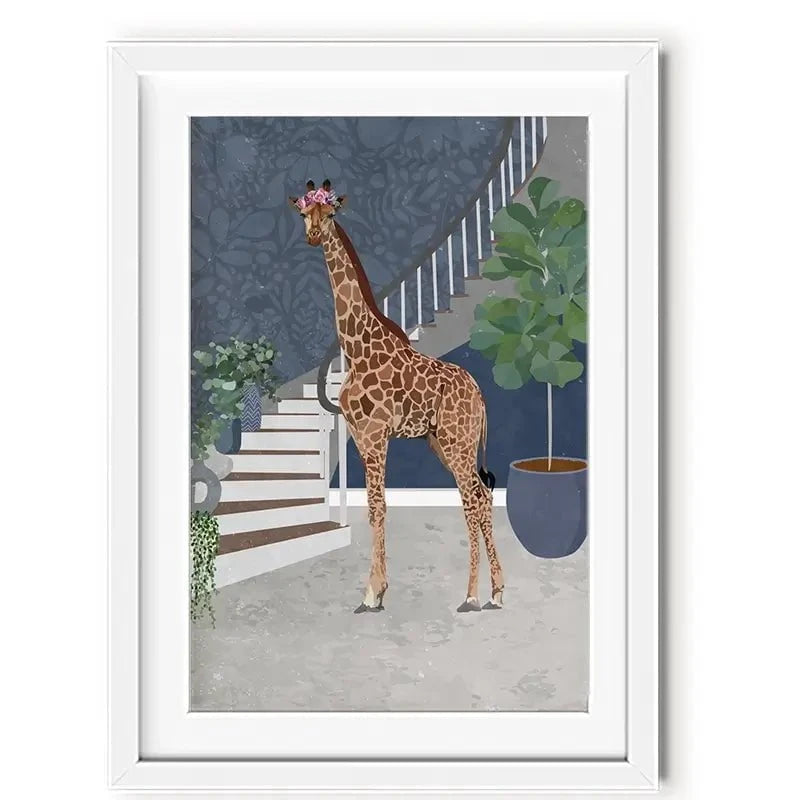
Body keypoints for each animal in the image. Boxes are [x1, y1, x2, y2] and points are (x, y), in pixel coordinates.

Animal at [289, 181, 504, 613]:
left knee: (472, 500)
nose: (314, 235)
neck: (356, 347)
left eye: (331, 213)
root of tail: (480, 395)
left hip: (458, 442)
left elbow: (379, 505)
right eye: (304, 213)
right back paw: (496, 592)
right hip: (445, 442)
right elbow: (374, 509)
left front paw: (372, 592)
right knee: (482, 495)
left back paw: (472, 595)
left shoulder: (375, 436)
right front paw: (378, 589)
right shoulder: (359, 437)